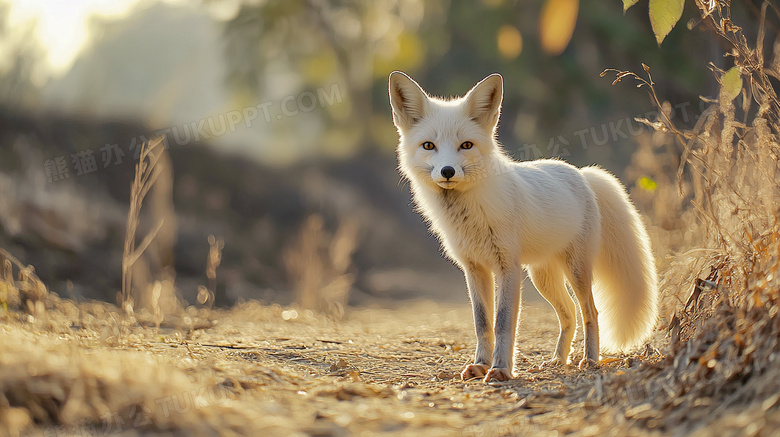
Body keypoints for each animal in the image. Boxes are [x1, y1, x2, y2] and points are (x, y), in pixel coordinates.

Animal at [390, 71, 660, 382]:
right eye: (428, 146)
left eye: (466, 145)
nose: (447, 171)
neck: (470, 215)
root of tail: (581, 173)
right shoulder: (475, 269)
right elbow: (482, 323)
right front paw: (480, 365)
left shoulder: (508, 268)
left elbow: (504, 323)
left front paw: (500, 369)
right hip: (542, 276)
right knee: (569, 313)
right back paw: (557, 360)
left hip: (575, 270)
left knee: (590, 312)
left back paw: (589, 360)